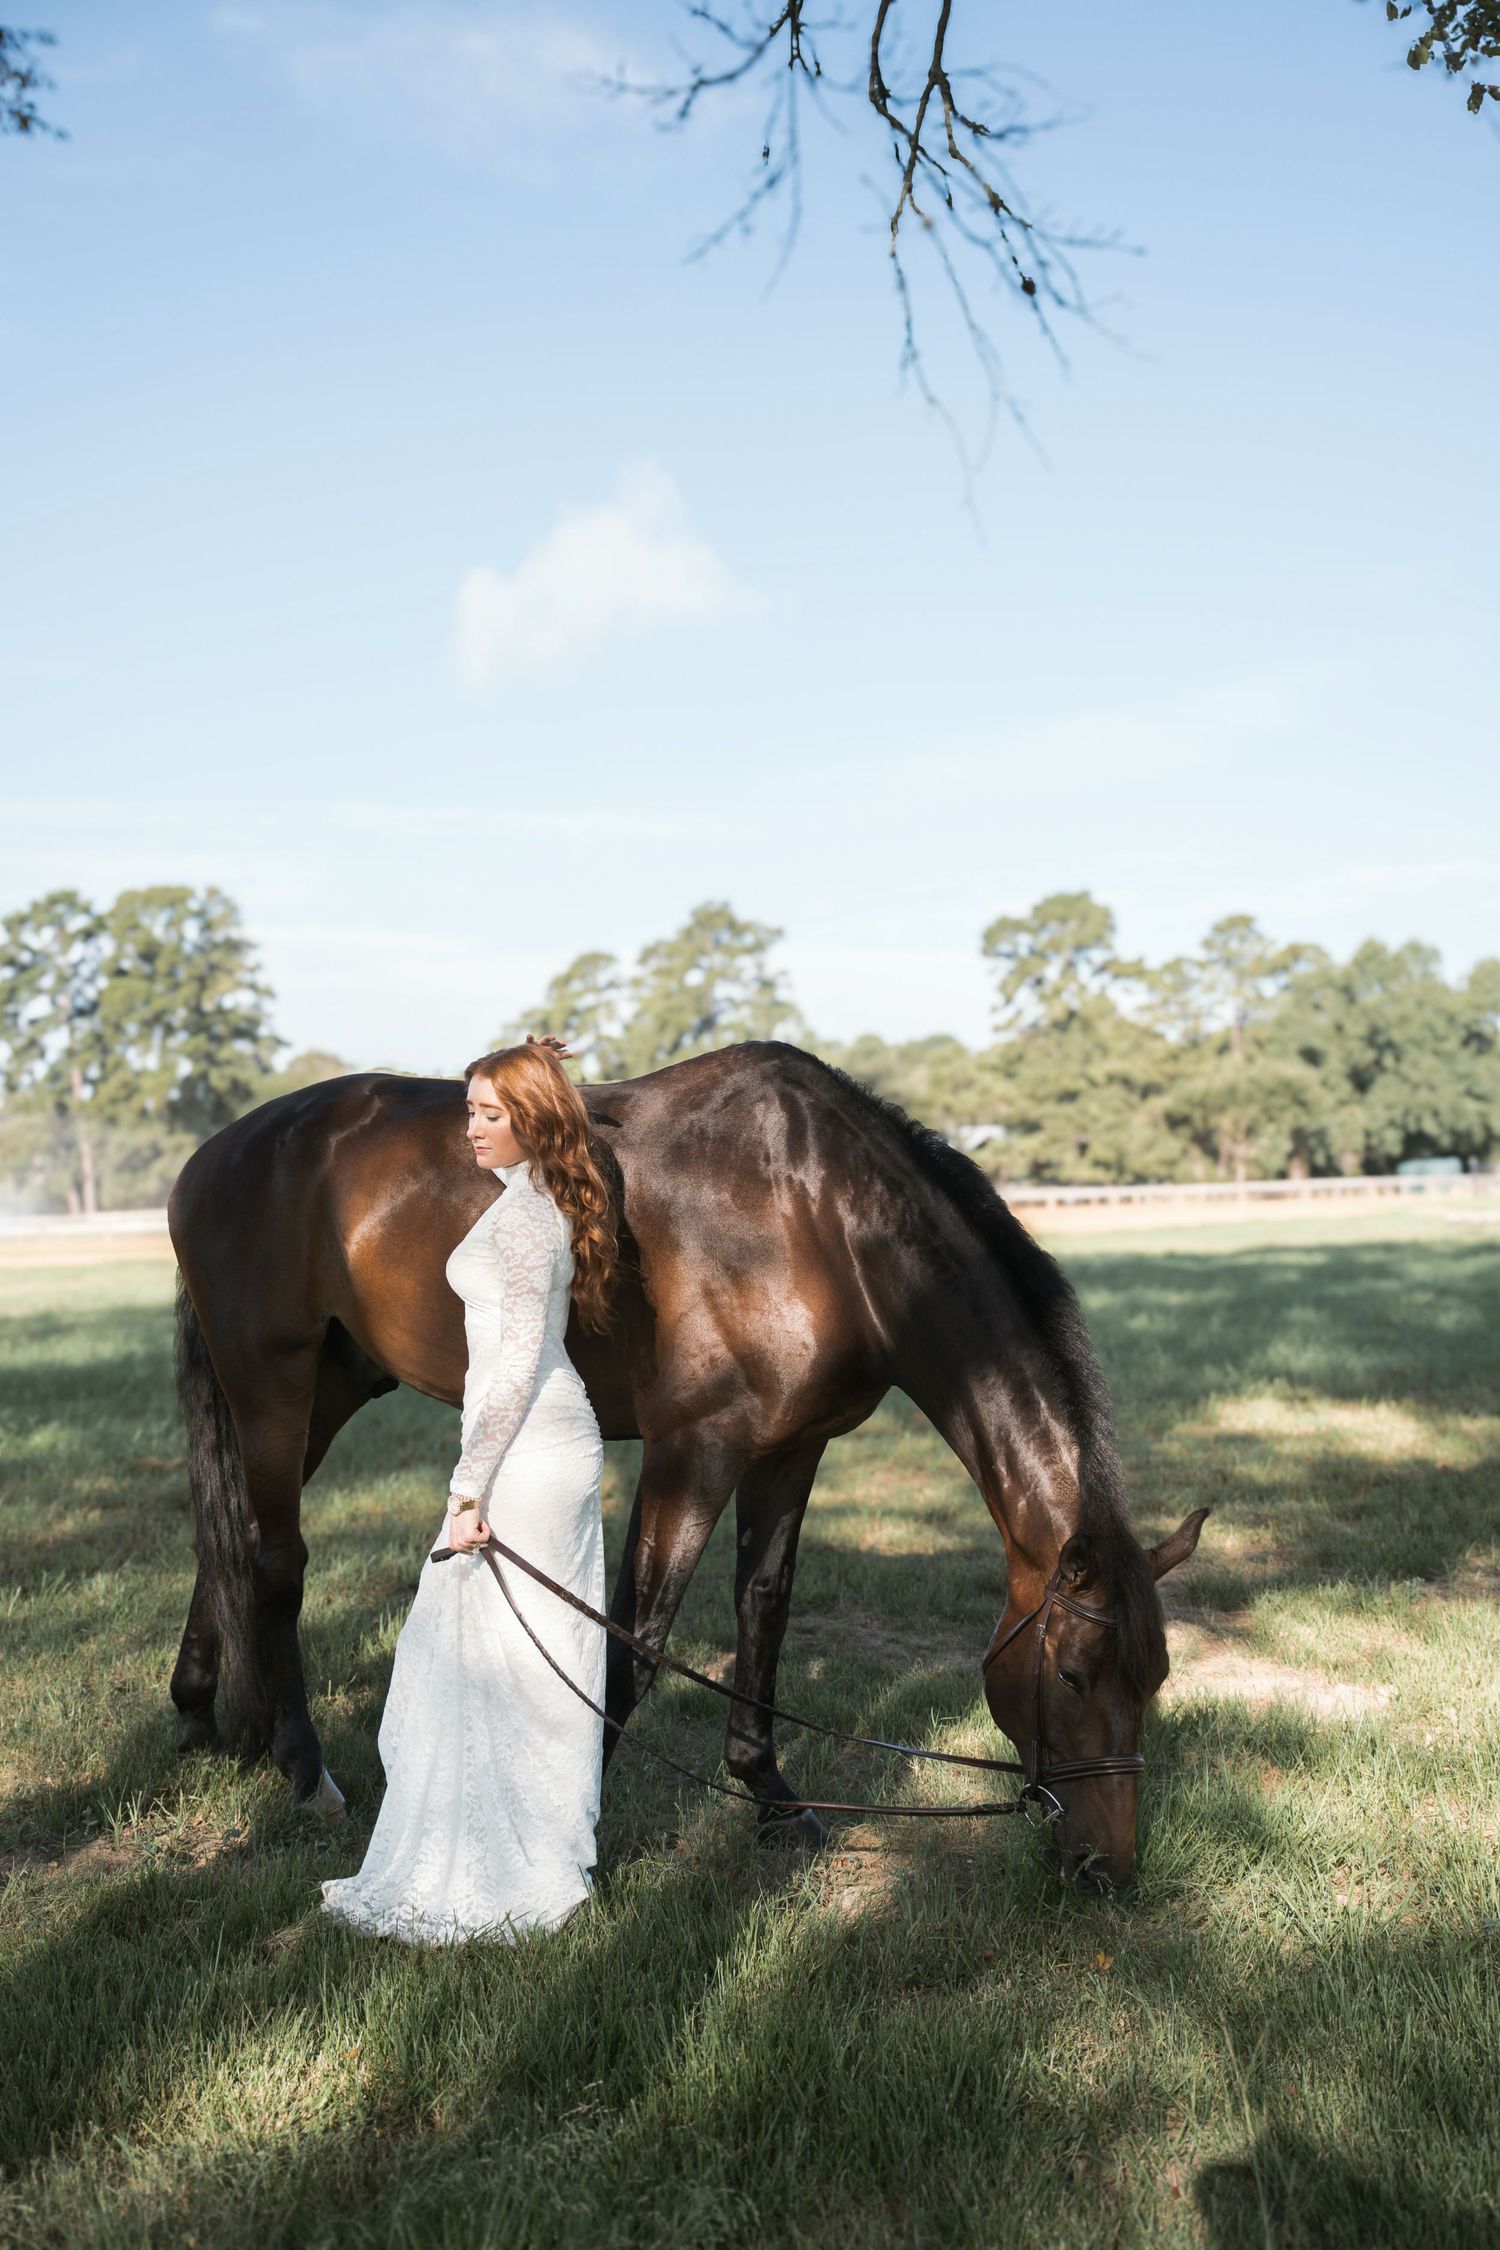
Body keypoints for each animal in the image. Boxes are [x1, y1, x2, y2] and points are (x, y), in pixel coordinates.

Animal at [167, 1038, 1206, 1889]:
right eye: (1070, 1675)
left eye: (1153, 1677)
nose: (1107, 1868)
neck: (816, 1213)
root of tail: (220, 1154)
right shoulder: (694, 1450)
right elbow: (639, 1638)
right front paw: (573, 1842)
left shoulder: (790, 1450)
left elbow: (763, 1605)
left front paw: (771, 1796)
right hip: (272, 1384)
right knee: (272, 1562)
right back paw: (304, 1770)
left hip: (332, 1388)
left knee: (227, 1548)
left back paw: (198, 1717)